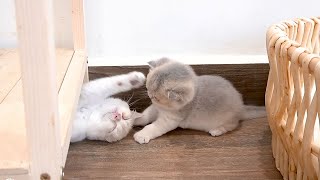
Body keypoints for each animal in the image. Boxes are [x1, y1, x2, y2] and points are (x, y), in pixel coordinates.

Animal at [132, 57, 264, 143]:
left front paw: (142, 135)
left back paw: (217, 130)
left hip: (227, 119)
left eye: (156, 97)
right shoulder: (156, 108)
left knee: (232, 125)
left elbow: (153, 127)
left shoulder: (170, 119)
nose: (150, 96)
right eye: (148, 89)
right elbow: (145, 116)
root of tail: (241, 106)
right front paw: (135, 118)